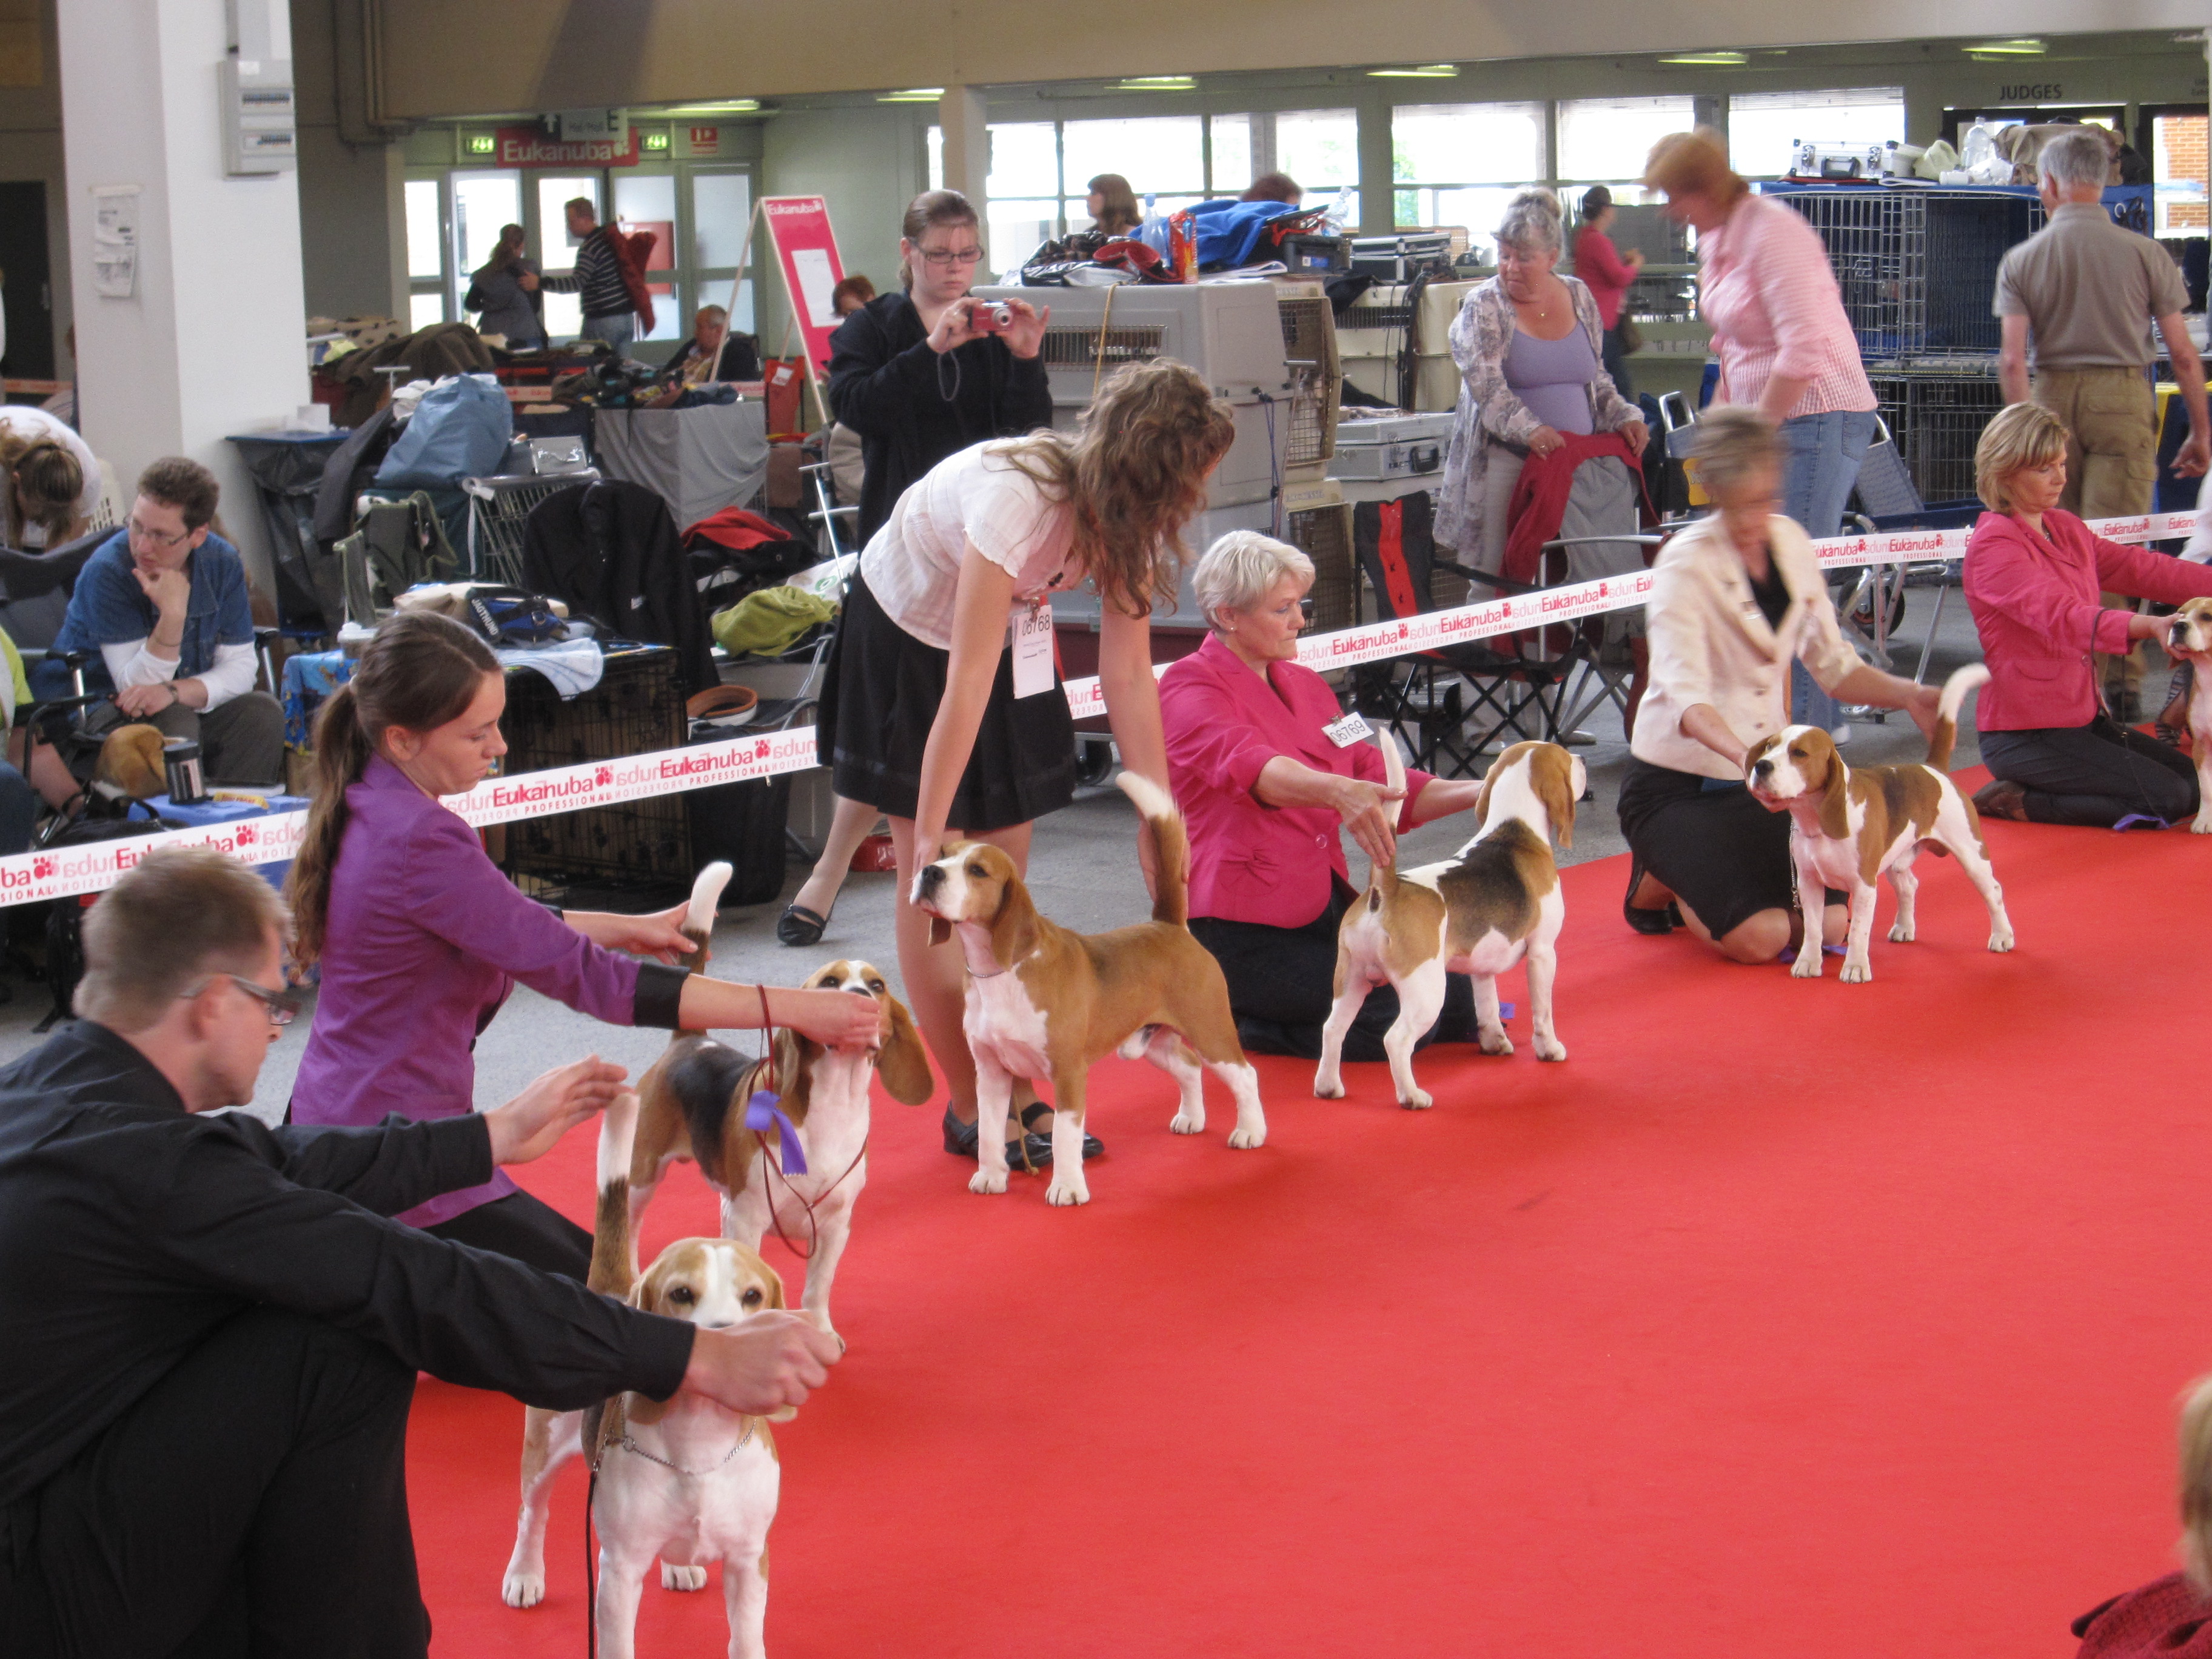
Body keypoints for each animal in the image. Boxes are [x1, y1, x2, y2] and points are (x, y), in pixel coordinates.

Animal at [911, 774, 1265, 1212]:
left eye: (977, 870)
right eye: (943, 855)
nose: (929, 872)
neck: (1002, 971)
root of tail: (1169, 926)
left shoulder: (1068, 1073)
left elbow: (1066, 1137)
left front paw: (1067, 1187)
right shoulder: (991, 1072)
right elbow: (992, 1132)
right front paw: (991, 1176)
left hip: (1210, 1030)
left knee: (1245, 1074)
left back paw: (1251, 1131)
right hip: (1149, 1042)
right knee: (1189, 1066)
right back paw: (1192, 1118)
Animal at [1309, 739, 1575, 1106]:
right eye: (1568, 760)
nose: (1580, 759)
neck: (1513, 828)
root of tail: (1386, 890)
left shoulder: (1482, 965)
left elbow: (1488, 1006)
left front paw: (1495, 1044)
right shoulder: (1543, 953)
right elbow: (1543, 1011)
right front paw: (1550, 1049)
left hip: (1352, 978)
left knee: (1333, 1029)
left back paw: (1328, 1087)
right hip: (1427, 990)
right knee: (1396, 1039)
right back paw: (1412, 1096)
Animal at [1752, 663, 2017, 982]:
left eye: (1799, 753)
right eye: (1769, 746)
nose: (1761, 766)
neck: (1817, 822)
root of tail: (1933, 768)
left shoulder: (1864, 886)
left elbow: (1857, 931)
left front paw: (1855, 966)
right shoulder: (1809, 884)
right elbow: (1814, 929)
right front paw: (1808, 962)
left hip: (1971, 855)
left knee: (1994, 892)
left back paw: (2002, 936)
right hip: (1896, 861)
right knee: (1910, 885)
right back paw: (1904, 927)